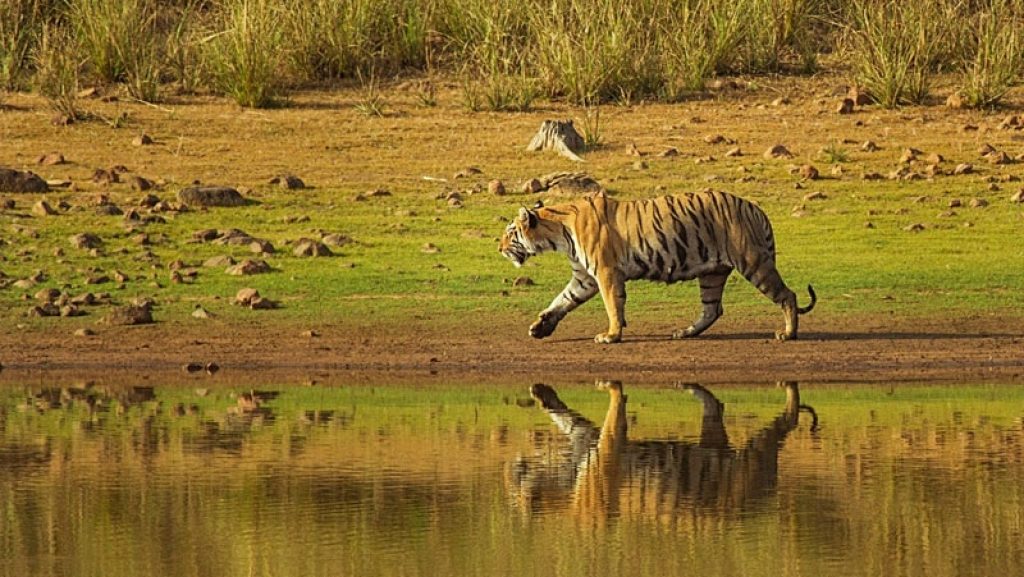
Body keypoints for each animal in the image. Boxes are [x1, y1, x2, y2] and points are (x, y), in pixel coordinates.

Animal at [498, 189, 815, 343]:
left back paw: (788, 334)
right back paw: (685, 333)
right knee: (712, 309)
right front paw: (540, 327)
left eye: (511, 232)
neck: (558, 232)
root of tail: (756, 208)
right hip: (713, 273)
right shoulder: (584, 277)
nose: (499, 248)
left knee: (787, 295)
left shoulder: (606, 273)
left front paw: (611, 336)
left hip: (752, 262)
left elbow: (612, 306)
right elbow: (562, 300)